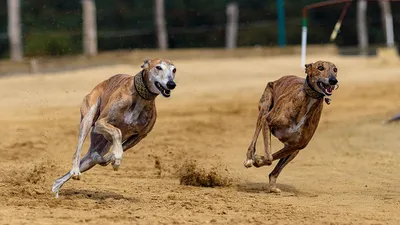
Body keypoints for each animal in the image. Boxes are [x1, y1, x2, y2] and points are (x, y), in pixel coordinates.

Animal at [51, 58, 177, 197]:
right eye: (158, 67)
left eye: (174, 70)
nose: (171, 84)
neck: (140, 98)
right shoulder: (100, 123)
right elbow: (117, 132)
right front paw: (116, 156)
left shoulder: (139, 136)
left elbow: (117, 148)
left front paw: (114, 158)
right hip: (89, 118)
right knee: (77, 152)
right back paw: (75, 171)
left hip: (98, 148)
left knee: (90, 158)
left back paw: (57, 186)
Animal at [242, 60, 340, 193]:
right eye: (320, 68)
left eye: (335, 69)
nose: (333, 80)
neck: (307, 101)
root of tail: (278, 79)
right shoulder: (267, 121)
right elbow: (269, 157)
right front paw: (256, 159)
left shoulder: (296, 145)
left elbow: (271, 157)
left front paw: (258, 160)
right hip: (264, 108)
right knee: (255, 137)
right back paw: (248, 159)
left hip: (294, 151)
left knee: (275, 171)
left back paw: (273, 188)